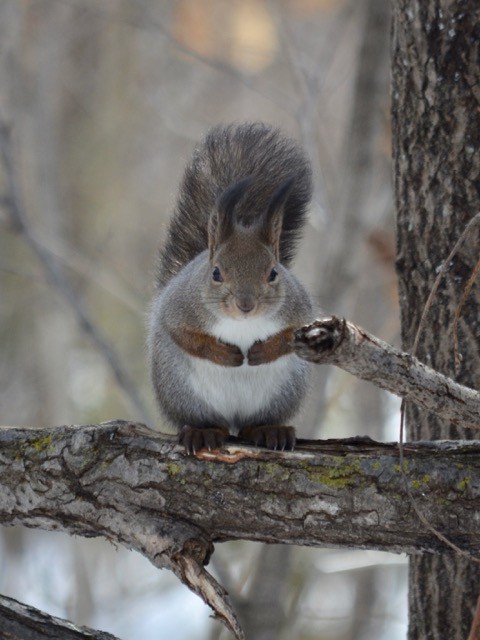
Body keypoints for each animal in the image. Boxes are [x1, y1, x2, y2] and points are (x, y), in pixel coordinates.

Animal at [150, 122, 316, 452]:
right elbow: (186, 336)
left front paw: (264, 351)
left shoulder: (299, 309)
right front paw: (226, 355)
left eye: (273, 273)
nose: (245, 306)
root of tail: (234, 420)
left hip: (283, 393)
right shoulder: (177, 309)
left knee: (256, 422)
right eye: (216, 273)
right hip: (183, 393)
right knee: (207, 421)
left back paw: (269, 430)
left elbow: (293, 336)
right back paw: (202, 432)